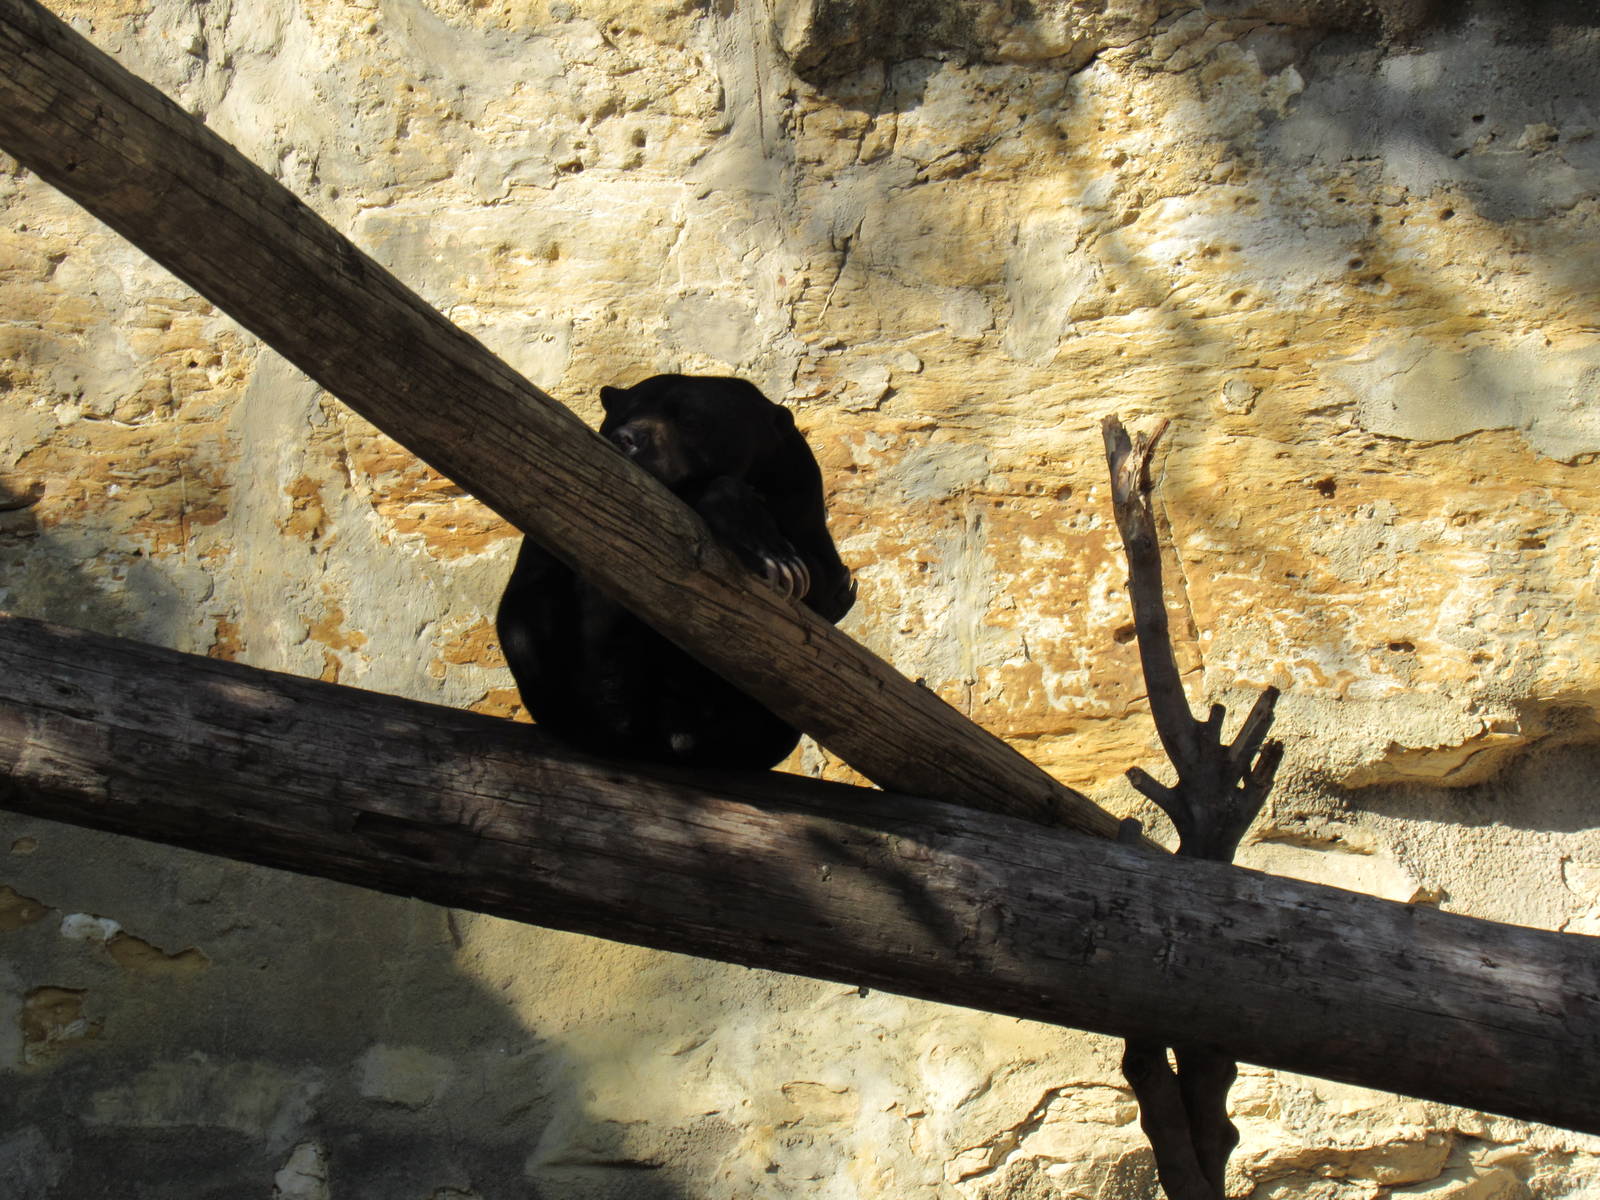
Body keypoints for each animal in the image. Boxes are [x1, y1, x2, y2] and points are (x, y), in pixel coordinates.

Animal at [496, 373, 855, 770]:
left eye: (692, 421)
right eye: (622, 415)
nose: (627, 438)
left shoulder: (800, 491)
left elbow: (821, 582)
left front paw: (790, 564)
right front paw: (768, 548)